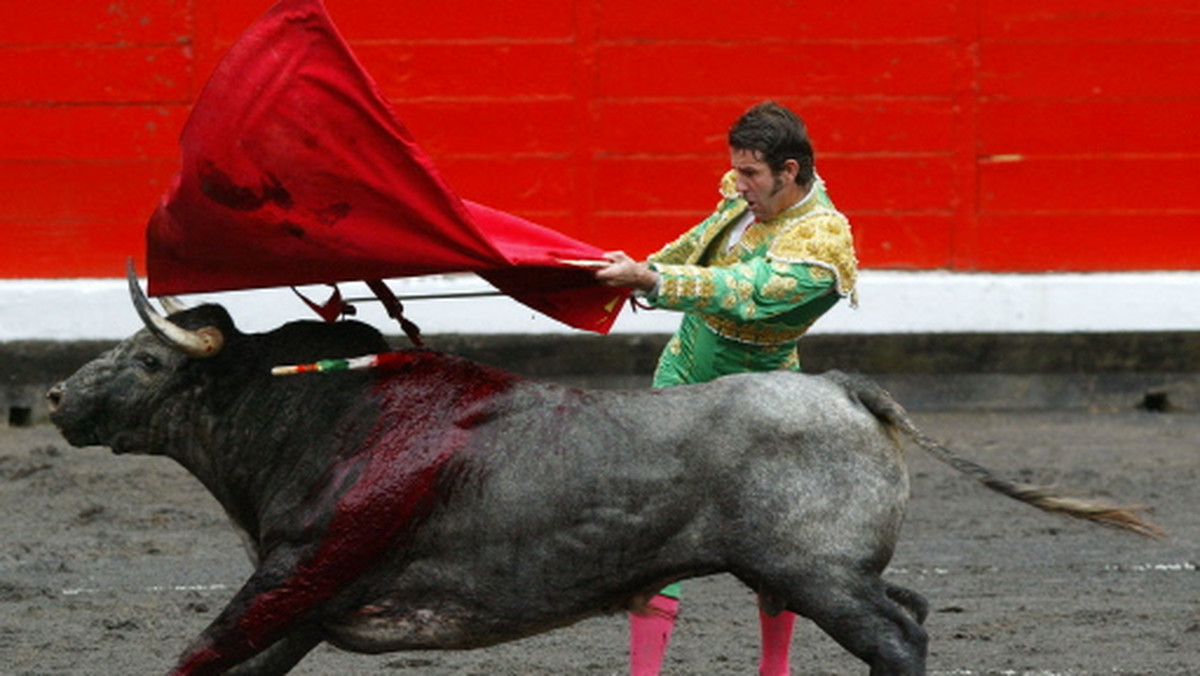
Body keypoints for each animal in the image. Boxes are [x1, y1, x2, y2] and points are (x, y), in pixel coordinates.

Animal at [49, 270, 1161, 676]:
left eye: (145, 359)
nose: (57, 397)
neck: (316, 416)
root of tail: (844, 389)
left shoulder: (289, 581)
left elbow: (195, 653)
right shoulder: (299, 609)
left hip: (818, 574)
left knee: (897, 635)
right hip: (820, 571)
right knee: (912, 609)